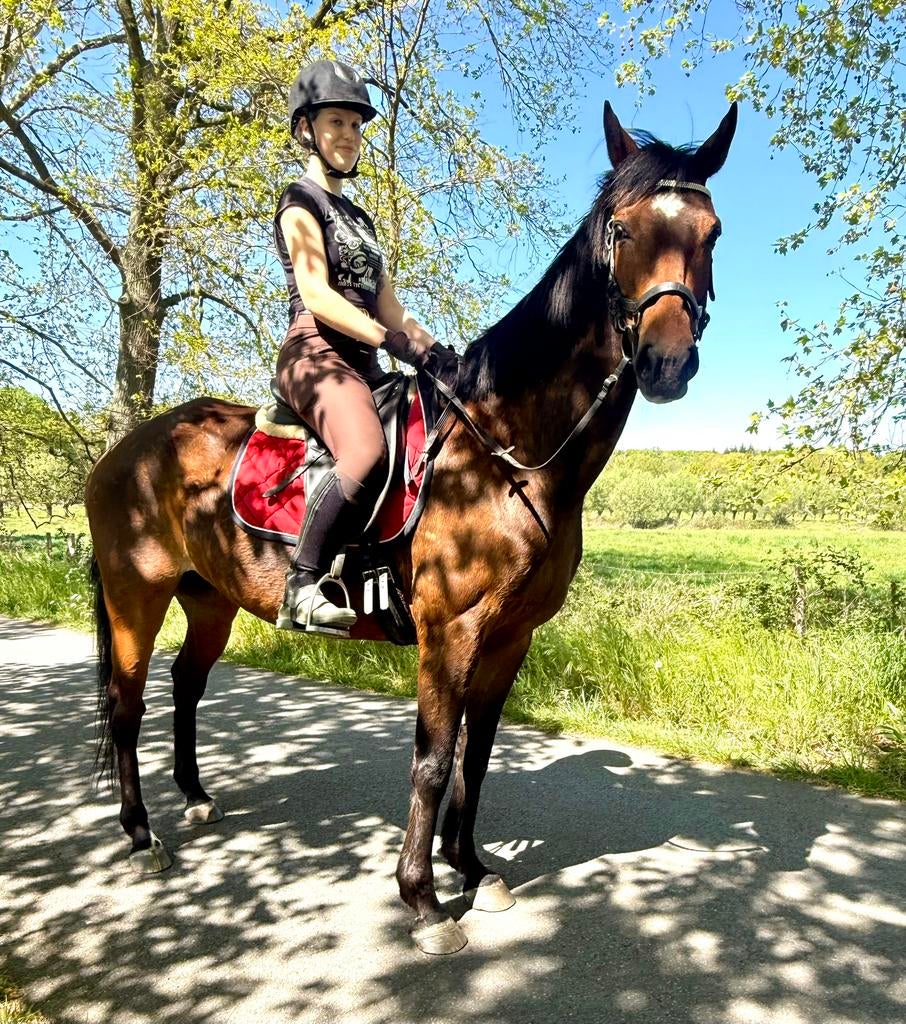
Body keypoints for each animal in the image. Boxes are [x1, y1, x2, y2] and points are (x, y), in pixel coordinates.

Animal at [86, 100, 737, 955]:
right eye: (622, 229)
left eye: (712, 231)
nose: (666, 361)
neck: (508, 449)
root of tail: (122, 451)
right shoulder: (450, 630)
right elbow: (433, 759)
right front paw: (423, 900)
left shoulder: (511, 635)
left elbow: (477, 755)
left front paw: (474, 870)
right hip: (136, 594)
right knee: (126, 704)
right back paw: (140, 834)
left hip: (210, 598)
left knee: (185, 684)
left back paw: (193, 798)